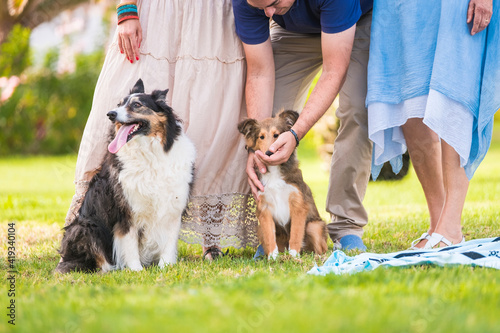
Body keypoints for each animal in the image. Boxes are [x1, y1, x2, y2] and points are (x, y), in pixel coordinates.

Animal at [55, 80, 195, 272]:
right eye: (119, 104)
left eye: (137, 105)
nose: (110, 114)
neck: (150, 153)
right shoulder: (126, 211)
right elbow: (130, 244)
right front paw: (136, 271)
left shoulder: (174, 206)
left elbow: (169, 241)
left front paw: (166, 267)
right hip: (86, 227)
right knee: (101, 262)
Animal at [238, 110, 328, 258]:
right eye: (261, 137)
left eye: (277, 135)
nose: (269, 153)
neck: (274, 170)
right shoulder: (264, 208)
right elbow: (270, 236)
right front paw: (272, 258)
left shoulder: (298, 204)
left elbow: (296, 234)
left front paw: (293, 256)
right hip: (260, 229)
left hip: (314, 226)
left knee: (321, 248)